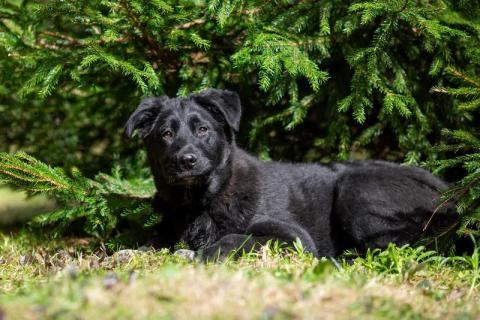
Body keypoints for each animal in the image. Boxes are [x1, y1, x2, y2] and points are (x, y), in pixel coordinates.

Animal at [125, 89, 456, 258]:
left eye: (203, 129)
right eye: (166, 134)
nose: (187, 160)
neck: (200, 202)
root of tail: (450, 193)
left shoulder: (294, 237)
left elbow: (236, 238)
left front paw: (204, 254)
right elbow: (152, 242)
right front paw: (132, 252)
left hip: (356, 189)